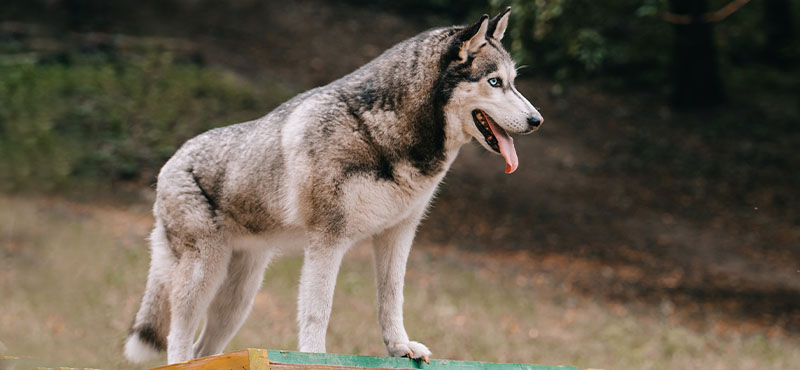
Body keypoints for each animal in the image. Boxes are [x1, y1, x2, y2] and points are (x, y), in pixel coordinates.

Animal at [125, 7, 544, 366]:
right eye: (495, 82)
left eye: (513, 83)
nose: (537, 120)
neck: (384, 134)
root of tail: (170, 162)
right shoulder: (327, 241)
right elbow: (317, 312)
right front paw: (314, 357)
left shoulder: (397, 235)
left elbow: (391, 301)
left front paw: (401, 347)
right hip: (202, 277)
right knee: (179, 343)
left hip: (238, 298)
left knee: (205, 351)